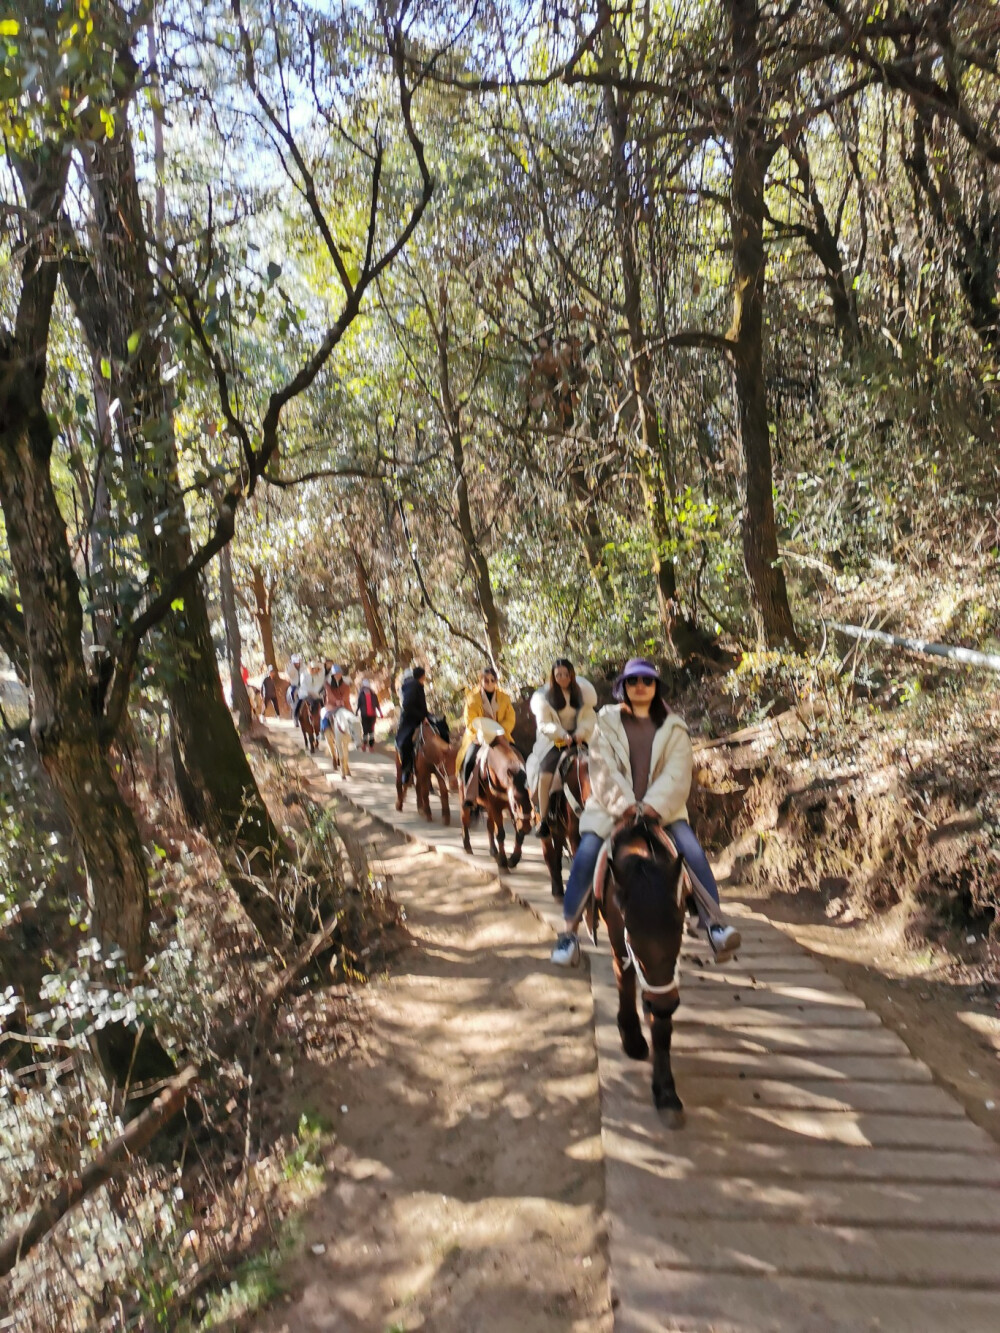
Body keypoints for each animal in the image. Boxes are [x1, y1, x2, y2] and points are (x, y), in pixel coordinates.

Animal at [464, 735, 536, 869]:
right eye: (515, 801)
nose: (527, 827)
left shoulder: (509, 809)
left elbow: (518, 833)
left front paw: (514, 858)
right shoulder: (497, 806)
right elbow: (501, 834)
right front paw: (503, 861)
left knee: (489, 826)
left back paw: (493, 851)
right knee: (465, 819)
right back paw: (467, 846)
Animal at [592, 810, 693, 1125]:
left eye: (680, 927)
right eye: (632, 931)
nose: (664, 1004)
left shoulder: (663, 984)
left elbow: (661, 1027)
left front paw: (666, 1094)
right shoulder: (620, 942)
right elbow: (624, 980)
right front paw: (632, 1038)